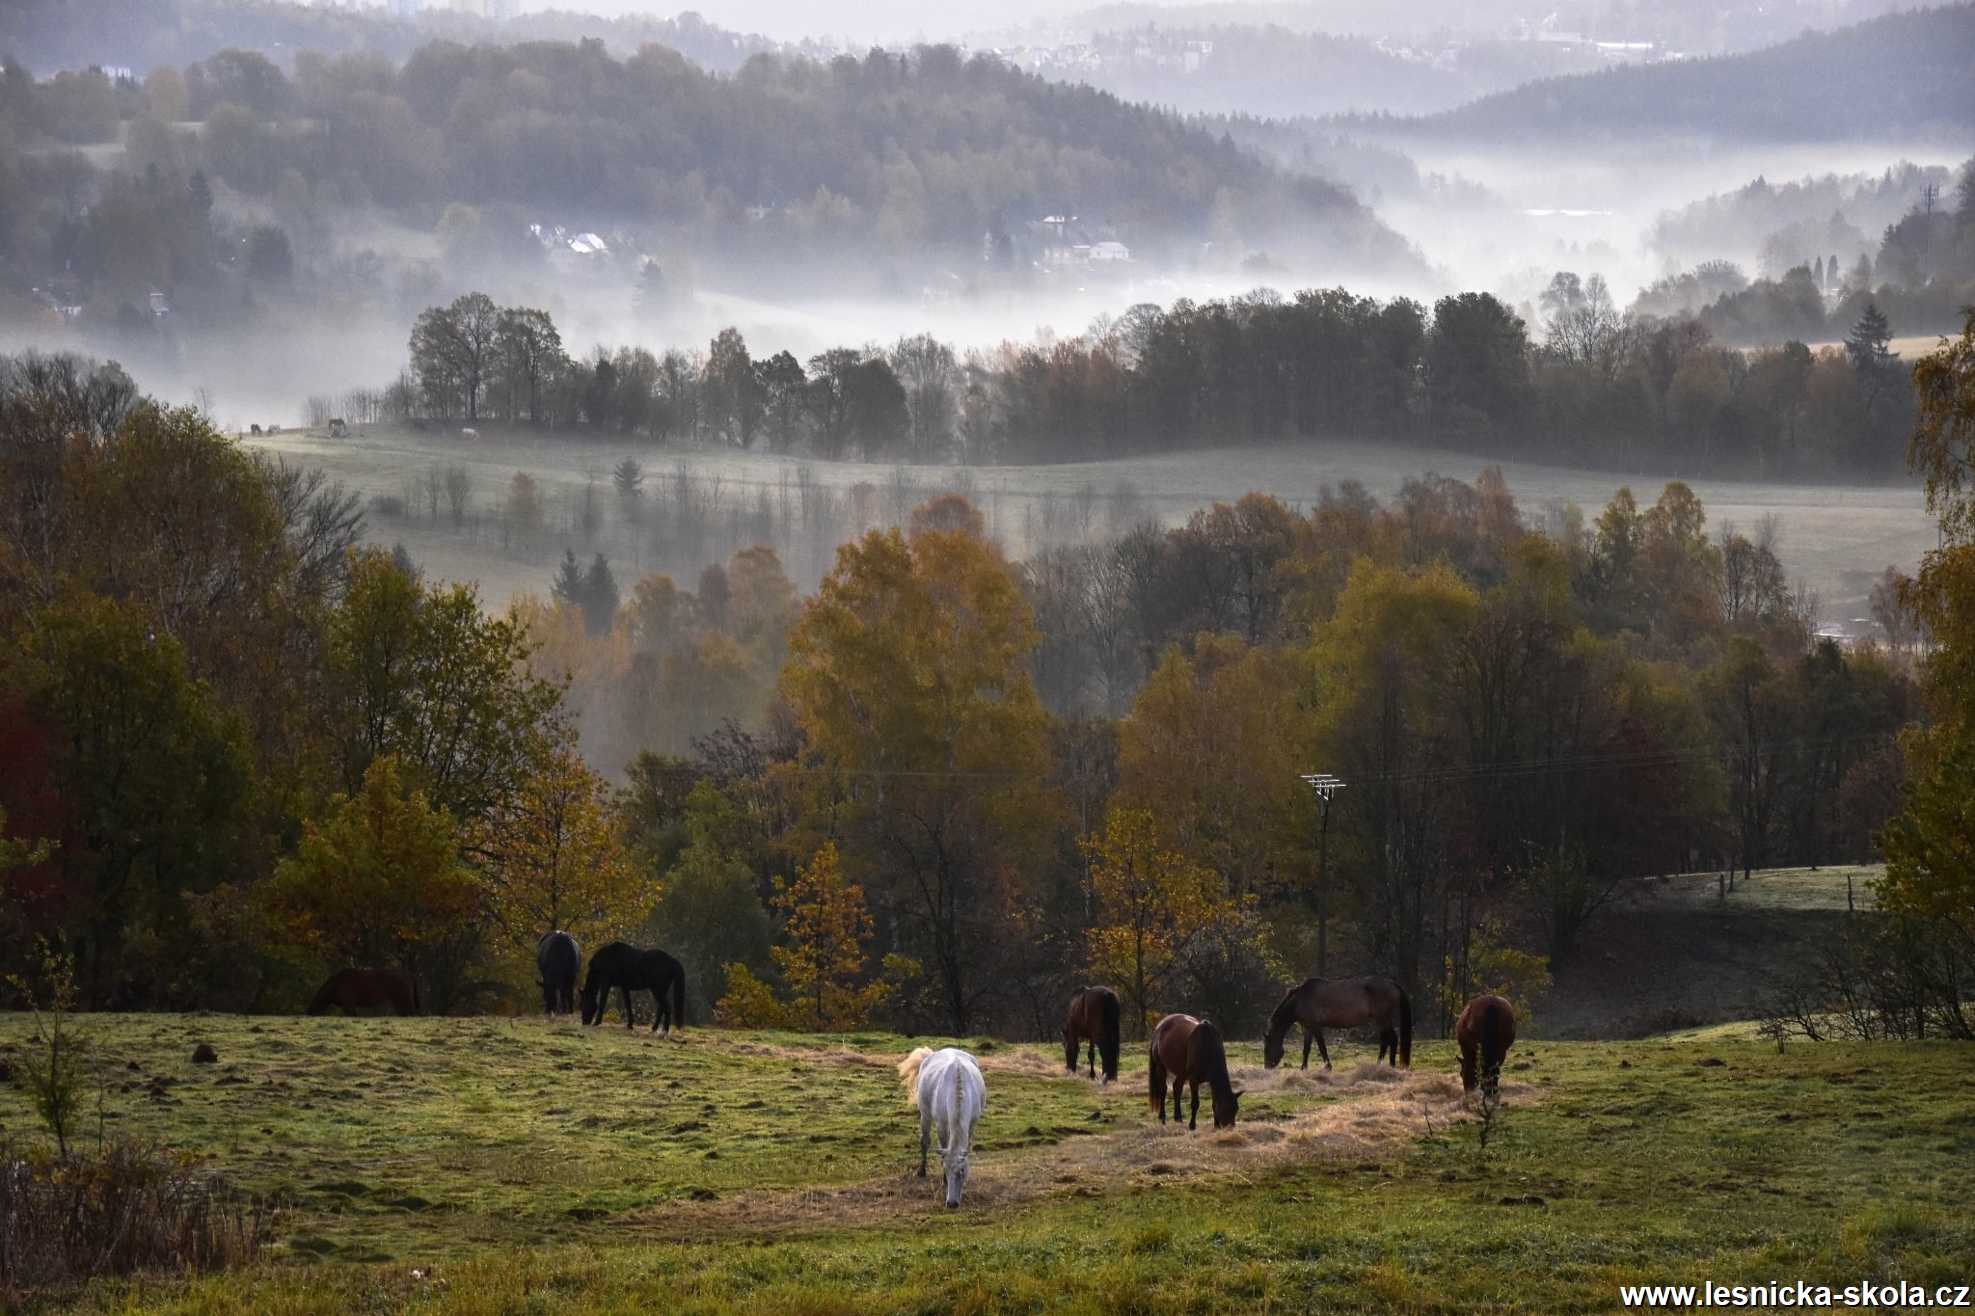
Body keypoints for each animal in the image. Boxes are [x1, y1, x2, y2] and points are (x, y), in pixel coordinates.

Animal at [900, 1043, 983, 1201]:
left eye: (962, 1170)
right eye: (946, 1168)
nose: (952, 1203)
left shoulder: (972, 1124)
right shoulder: (941, 1125)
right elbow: (943, 1146)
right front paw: (943, 1180)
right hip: (925, 1115)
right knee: (925, 1141)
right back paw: (922, 1171)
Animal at [1256, 972, 1414, 1067]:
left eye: (1267, 1048)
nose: (1267, 1067)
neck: (1300, 999)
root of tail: (1392, 984)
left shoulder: (1316, 1027)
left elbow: (1322, 1047)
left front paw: (1327, 1067)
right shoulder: (1307, 1027)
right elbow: (1306, 1049)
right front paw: (1303, 1068)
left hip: (1382, 1018)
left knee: (1391, 1039)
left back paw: (1389, 1065)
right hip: (1380, 1020)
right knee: (1386, 1040)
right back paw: (1381, 1065)